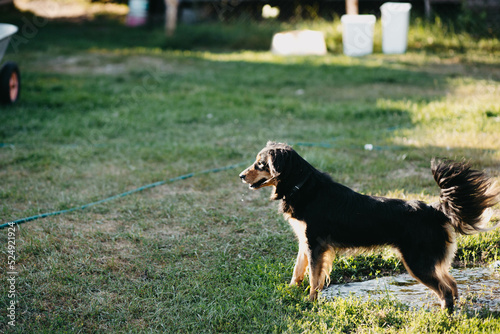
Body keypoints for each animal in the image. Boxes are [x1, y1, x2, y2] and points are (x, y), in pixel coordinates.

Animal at [240, 141, 498, 310]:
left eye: (260, 164)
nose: (241, 176)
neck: (301, 185)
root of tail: (434, 209)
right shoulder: (306, 243)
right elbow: (298, 270)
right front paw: (291, 291)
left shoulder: (315, 245)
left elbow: (314, 277)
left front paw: (310, 303)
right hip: (431, 261)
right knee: (452, 284)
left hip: (418, 262)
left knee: (445, 290)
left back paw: (444, 314)